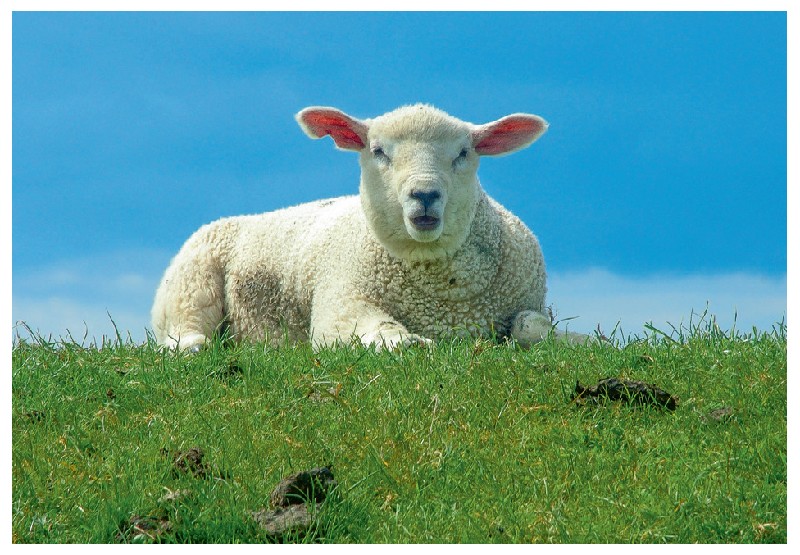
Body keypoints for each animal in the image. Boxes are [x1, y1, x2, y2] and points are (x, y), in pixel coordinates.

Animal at [151, 103, 588, 351]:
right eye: (378, 151)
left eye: (464, 152)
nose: (424, 194)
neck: (442, 300)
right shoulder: (340, 304)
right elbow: (381, 332)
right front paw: (406, 343)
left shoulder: (530, 304)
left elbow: (532, 328)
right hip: (191, 283)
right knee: (182, 332)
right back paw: (194, 347)